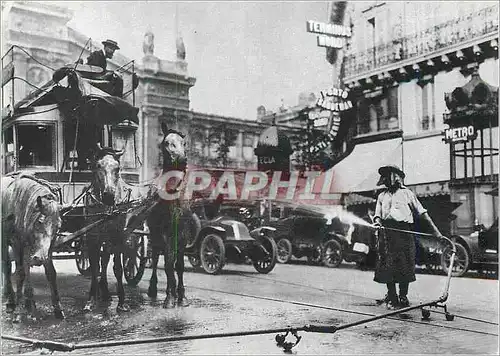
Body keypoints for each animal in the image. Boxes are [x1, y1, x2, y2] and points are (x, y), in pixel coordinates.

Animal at [1, 175, 66, 320]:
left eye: (58, 226)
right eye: (40, 222)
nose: (39, 258)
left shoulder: (47, 248)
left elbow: (50, 272)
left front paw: (58, 308)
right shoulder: (17, 243)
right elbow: (20, 272)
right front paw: (19, 310)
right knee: (7, 266)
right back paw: (11, 300)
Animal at [82, 143, 130, 312]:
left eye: (118, 168)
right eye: (98, 165)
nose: (109, 195)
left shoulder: (118, 236)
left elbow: (117, 268)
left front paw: (122, 301)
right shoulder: (92, 237)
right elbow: (94, 267)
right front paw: (90, 299)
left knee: (105, 260)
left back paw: (106, 292)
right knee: (101, 262)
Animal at [146, 122, 194, 308]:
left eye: (184, 143)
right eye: (166, 142)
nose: (182, 160)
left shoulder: (183, 234)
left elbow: (178, 265)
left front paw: (182, 296)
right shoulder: (165, 234)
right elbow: (167, 264)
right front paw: (170, 298)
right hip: (154, 235)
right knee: (155, 258)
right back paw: (153, 288)